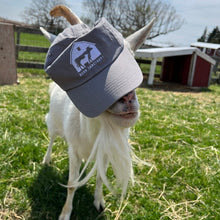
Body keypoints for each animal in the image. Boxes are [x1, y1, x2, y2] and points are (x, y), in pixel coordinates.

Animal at [40, 5, 155, 220]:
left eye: (133, 61)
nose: (127, 98)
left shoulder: (106, 152)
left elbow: (101, 177)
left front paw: (99, 202)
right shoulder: (74, 151)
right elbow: (71, 185)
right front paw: (65, 213)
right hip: (52, 122)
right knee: (51, 138)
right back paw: (46, 160)